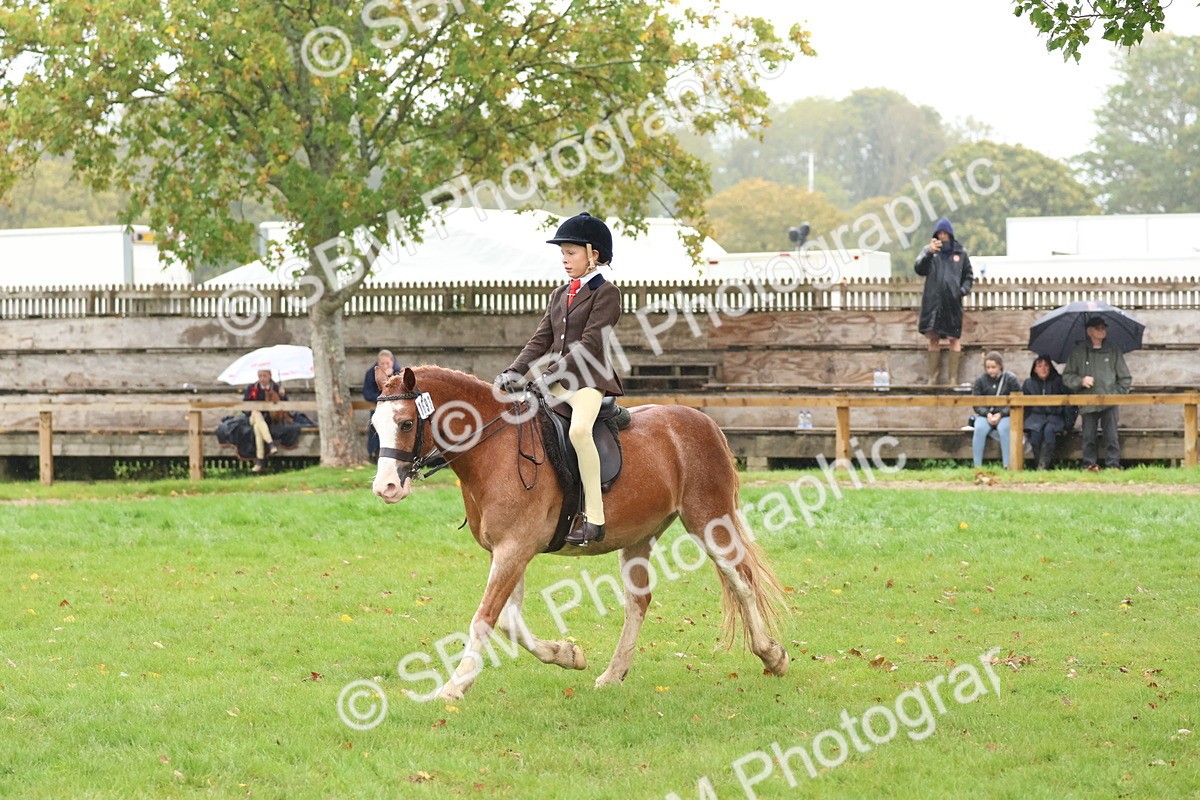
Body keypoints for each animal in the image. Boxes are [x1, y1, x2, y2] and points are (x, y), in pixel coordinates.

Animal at [370, 365, 790, 700]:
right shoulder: (507, 552)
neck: (495, 449)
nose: (385, 488)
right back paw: (613, 674)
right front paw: (568, 655)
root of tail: (704, 422)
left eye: (406, 423)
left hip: (708, 520)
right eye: (375, 425)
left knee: (741, 582)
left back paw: (773, 655)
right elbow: (509, 621)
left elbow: (485, 618)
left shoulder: (513, 549)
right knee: (639, 601)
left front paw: (454, 687)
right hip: (639, 537)